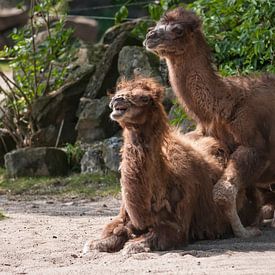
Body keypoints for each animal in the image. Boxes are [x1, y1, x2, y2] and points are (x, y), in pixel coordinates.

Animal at [82, 77, 264, 254]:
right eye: (118, 93)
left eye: (145, 98)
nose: (116, 100)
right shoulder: (125, 216)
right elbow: (112, 231)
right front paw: (95, 244)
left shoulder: (179, 221)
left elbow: (160, 235)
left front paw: (134, 245)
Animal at [143, 7, 275, 239]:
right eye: (157, 24)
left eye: (177, 30)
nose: (151, 36)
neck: (224, 105)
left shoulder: (255, 148)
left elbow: (223, 193)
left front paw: (245, 231)